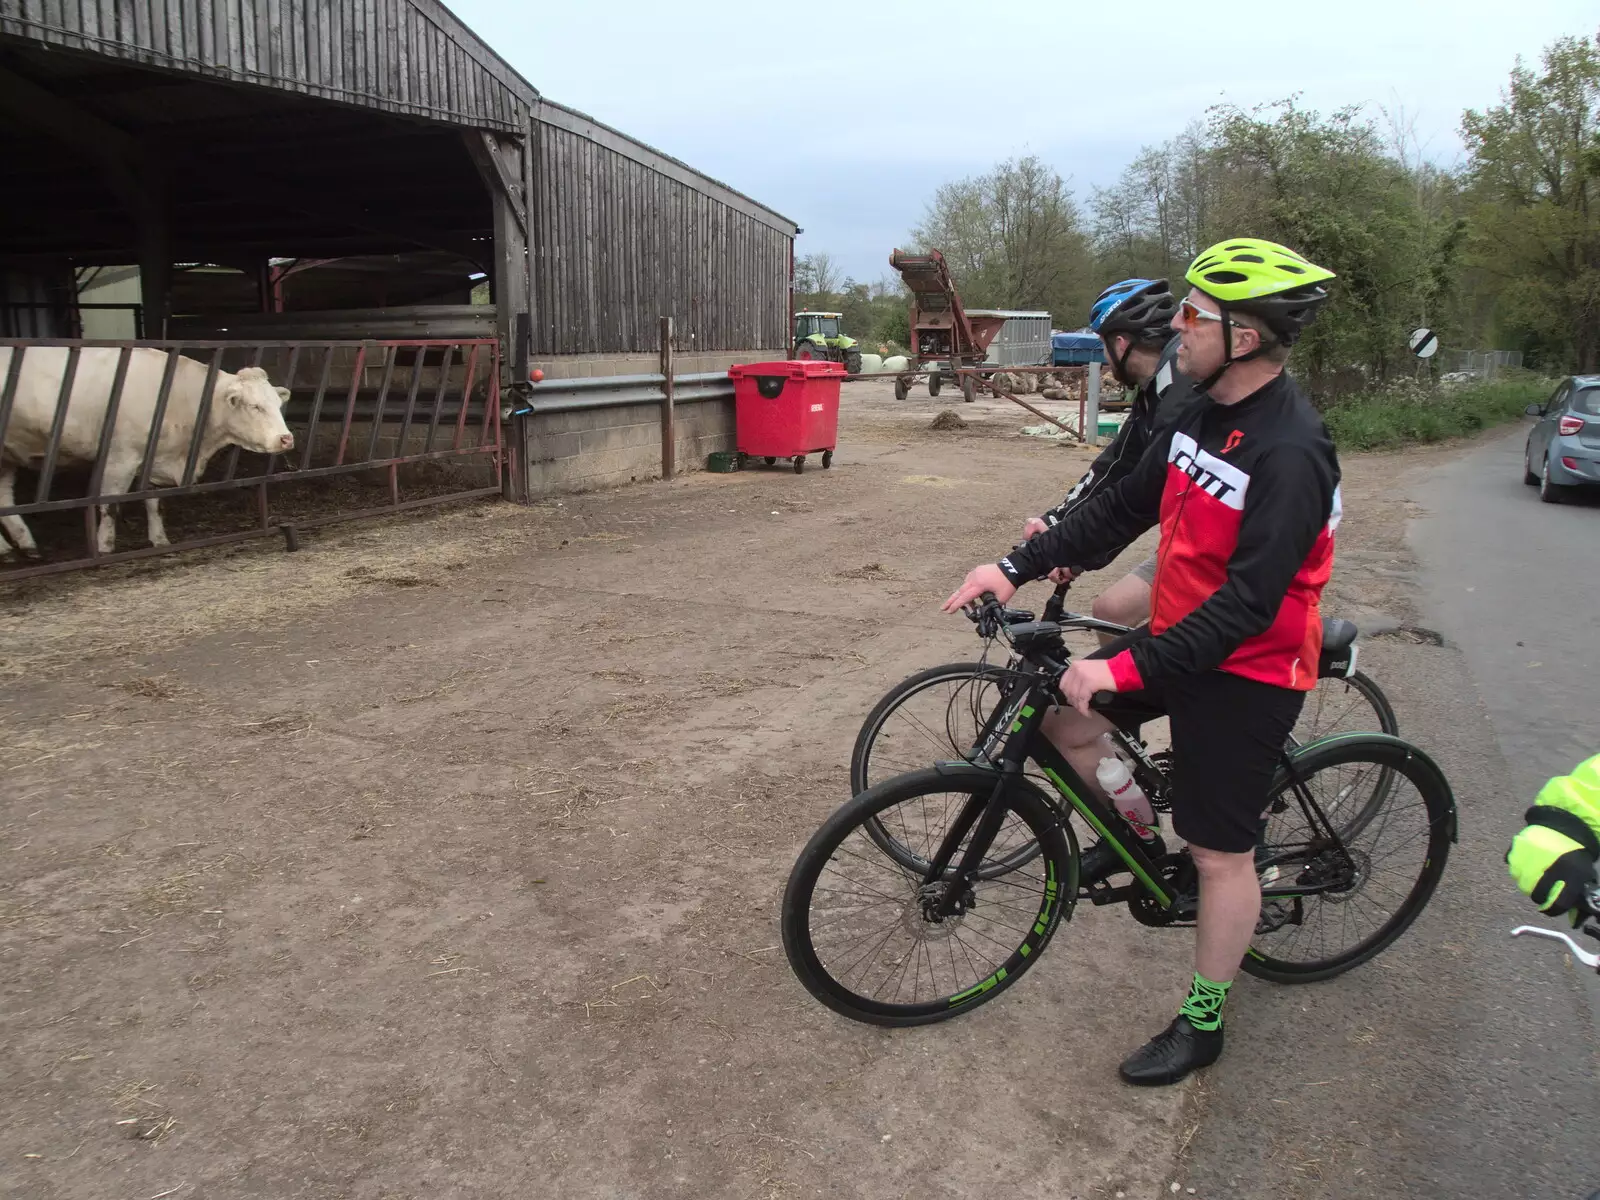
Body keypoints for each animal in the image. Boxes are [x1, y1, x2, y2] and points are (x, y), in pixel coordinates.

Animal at [0, 342, 297, 560]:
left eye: (276, 402)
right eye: (255, 406)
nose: (286, 439)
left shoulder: (156, 461)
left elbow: (155, 503)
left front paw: (160, 540)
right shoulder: (119, 458)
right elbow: (109, 504)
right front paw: (104, 547)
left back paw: (21, 547)